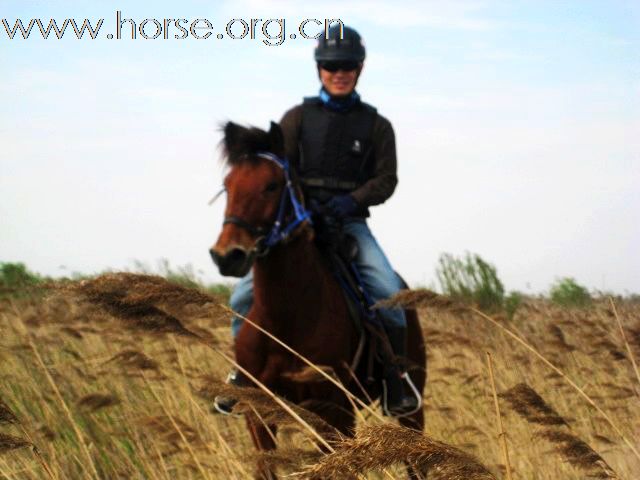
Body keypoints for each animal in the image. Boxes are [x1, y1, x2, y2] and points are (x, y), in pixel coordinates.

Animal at [211, 122, 424, 478]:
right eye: (228, 186)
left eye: (272, 186)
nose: (228, 255)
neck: (286, 318)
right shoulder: (260, 415)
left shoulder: (332, 414)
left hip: (408, 409)